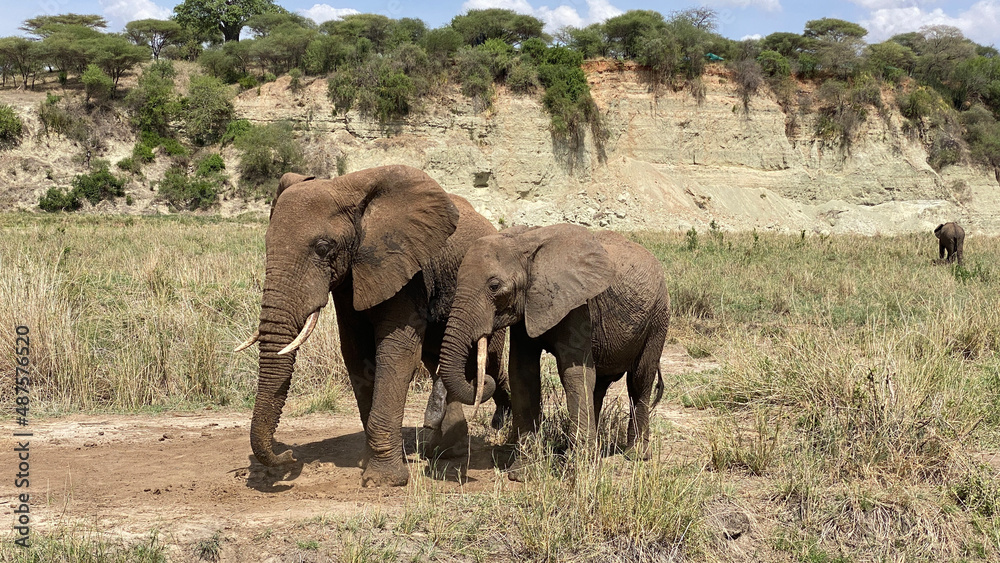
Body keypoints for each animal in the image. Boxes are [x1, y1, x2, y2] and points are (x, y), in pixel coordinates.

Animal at [234, 165, 508, 486]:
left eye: (323, 248)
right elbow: (356, 353)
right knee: (437, 360)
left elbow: (396, 353)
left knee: (483, 363)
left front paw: (383, 480)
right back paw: (444, 452)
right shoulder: (351, 277)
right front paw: (369, 463)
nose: (288, 455)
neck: (347, 190)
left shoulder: (405, 268)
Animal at [440, 225, 668, 480]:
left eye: (494, 286)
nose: (483, 380)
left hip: (658, 317)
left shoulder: (578, 306)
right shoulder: (528, 306)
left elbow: (574, 373)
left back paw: (635, 455)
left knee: (639, 380)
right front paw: (522, 473)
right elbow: (522, 373)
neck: (525, 242)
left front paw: (580, 473)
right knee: (598, 386)